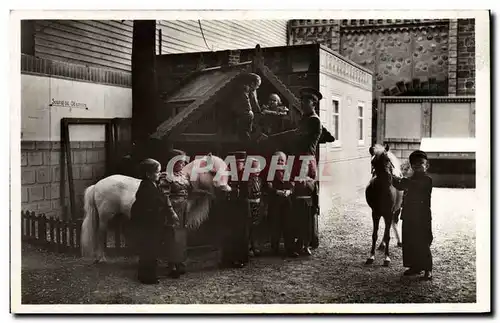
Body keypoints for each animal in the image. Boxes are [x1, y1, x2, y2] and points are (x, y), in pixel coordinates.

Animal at [81, 154, 231, 264]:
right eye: (213, 172)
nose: (226, 189)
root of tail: (97, 185)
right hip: (105, 217)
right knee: (101, 234)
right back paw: (101, 257)